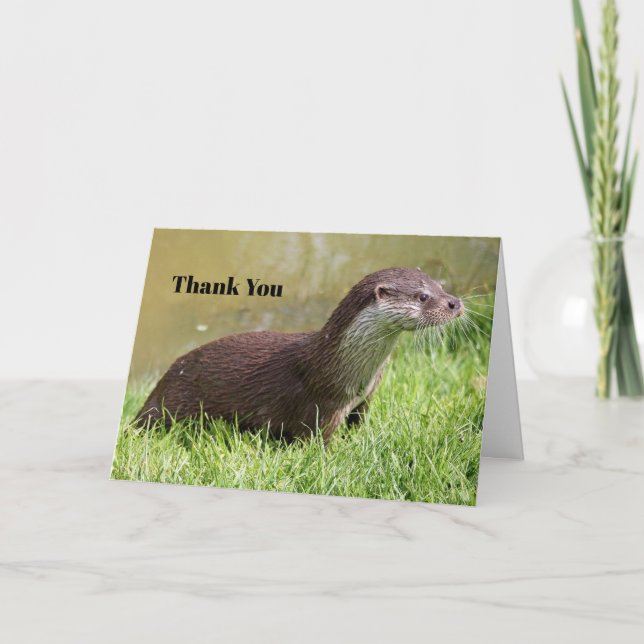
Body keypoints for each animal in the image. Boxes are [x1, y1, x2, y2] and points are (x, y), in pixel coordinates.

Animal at [135, 267, 463, 441]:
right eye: (423, 296)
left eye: (440, 286)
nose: (456, 303)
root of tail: (157, 388)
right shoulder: (324, 407)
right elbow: (318, 441)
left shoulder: (365, 399)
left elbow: (359, 424)